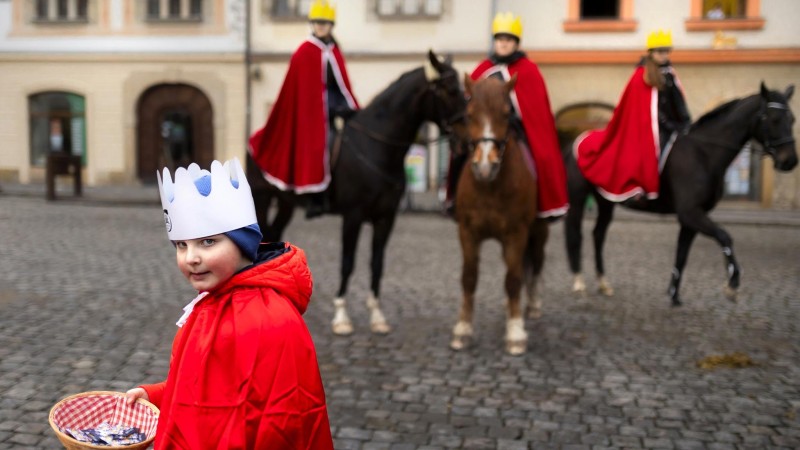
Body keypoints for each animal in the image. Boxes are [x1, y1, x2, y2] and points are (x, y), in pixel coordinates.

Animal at [247, 51, 466, 336]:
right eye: (450, 90)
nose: (465, 137)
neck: (378, 146)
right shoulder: (353, 216)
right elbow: (348, 262)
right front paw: (341, 317)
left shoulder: (386, 218)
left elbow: (377, 263)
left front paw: (377, 315)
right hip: (261, 199)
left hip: (286, 203)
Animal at [450, 74, 552, 356]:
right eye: (469, 114)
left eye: (507, 113)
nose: (486, 166)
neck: (490, 186)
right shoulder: (468, 232)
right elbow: (469, 278)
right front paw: (463, 329)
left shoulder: (517, 234)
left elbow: (514, 279)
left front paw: (515, 332)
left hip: (538, 233)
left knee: (535, 263)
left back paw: (534, 305)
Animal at [564, 81, 796, 306]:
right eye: (774, 119)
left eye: (792, 119)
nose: (790, 161)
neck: (703, 153)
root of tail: (575, 141)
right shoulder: (690, 213)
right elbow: (724, 236)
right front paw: (732, 284)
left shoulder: (692, 217)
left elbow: (682, 254)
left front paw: (674, 295)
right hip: (578, 200)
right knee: (575, 235)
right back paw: (579, 284)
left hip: (606, 201)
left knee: (598, 235)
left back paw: (603, 284)